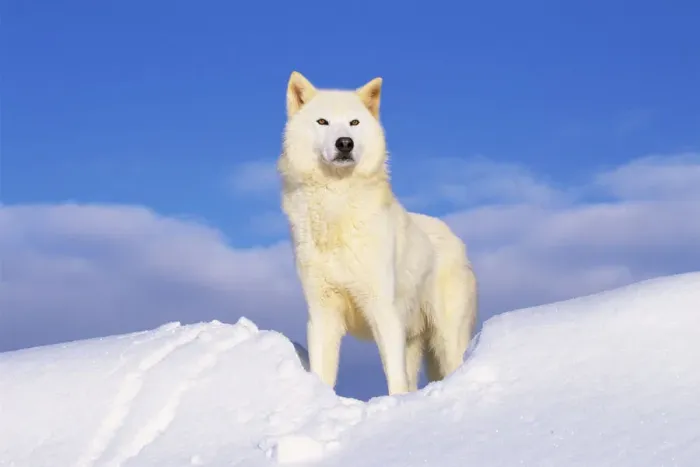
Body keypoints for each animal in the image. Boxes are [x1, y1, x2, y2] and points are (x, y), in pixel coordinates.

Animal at [278, 71, 478, 395]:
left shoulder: (383, 310)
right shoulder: (321, 313)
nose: (344, 143)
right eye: (322, 122)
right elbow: (323, 373)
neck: (337, 207)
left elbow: (394, 379)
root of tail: (453, 235)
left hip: (446, 340)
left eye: (354, 123)